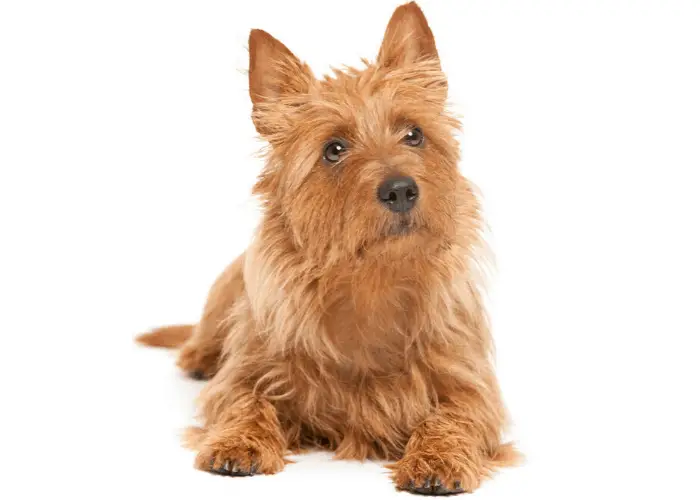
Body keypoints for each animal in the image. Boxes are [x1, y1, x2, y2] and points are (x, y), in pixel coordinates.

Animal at [138, 2, 520, 496]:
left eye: (414, 134)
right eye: (334, 149)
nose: (401, 189)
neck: (371, 282)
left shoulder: (472, 386)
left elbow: (455, 418)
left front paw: (438, 458)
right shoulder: (245, 374)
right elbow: (244, 401)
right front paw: (237, 443)